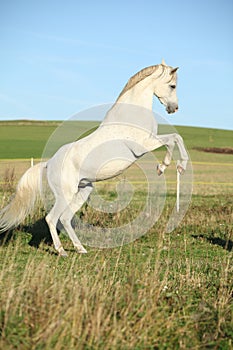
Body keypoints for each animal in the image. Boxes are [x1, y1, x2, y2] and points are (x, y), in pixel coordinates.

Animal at [0, 60, 188, 256]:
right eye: (173, 85)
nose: (174, 108)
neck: (130, 115)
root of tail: (49, 163)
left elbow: (177, 138)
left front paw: (180, 167)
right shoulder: (143, 145)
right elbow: (172, 140)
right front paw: (163, 167)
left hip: (83, 191)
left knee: (65, 218)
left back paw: (80, 248)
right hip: (65, 194)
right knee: (52, 218)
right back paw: (62, 251)